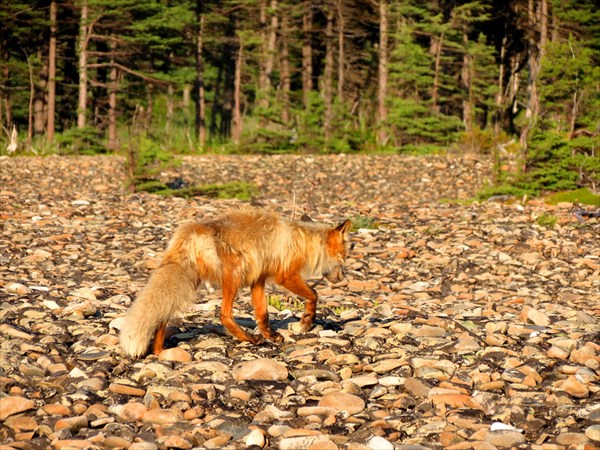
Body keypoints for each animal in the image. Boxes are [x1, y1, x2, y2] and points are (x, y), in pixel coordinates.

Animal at [118, 208, 352, 358]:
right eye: (344, 257)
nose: (342, 278)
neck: (302, 241)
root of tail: (190, 231)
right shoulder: (285, 275)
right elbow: (313, 295)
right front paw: (306, 321)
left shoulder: (258, 280)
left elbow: (263, 315)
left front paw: (271, 336)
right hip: (233, 277)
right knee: (224, 315)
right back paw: (248, 339)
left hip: (191, 282)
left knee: (163, 316)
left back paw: (159, 352)